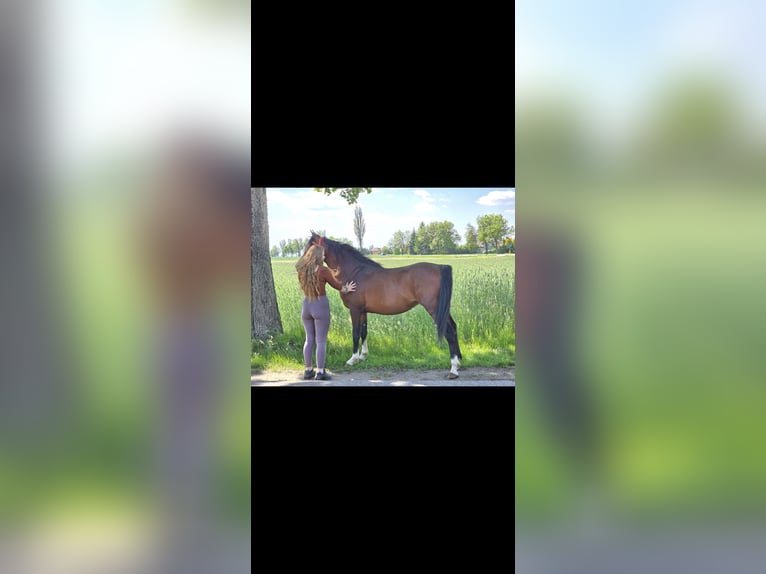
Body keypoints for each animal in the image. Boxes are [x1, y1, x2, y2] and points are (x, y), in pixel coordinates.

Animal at [305, 232, 463, 378]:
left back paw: (453, 369)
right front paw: (363, 356)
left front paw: (352, 359)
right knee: (454, 328)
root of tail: (440, 267)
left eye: (311, 244)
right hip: (442, 310)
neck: (354, 272)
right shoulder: (363, 311)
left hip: (434, 309)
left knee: (449, 332)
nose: (303, 263)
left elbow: (355, 333)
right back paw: (459, 362)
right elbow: (363, 332)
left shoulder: (355, 310)